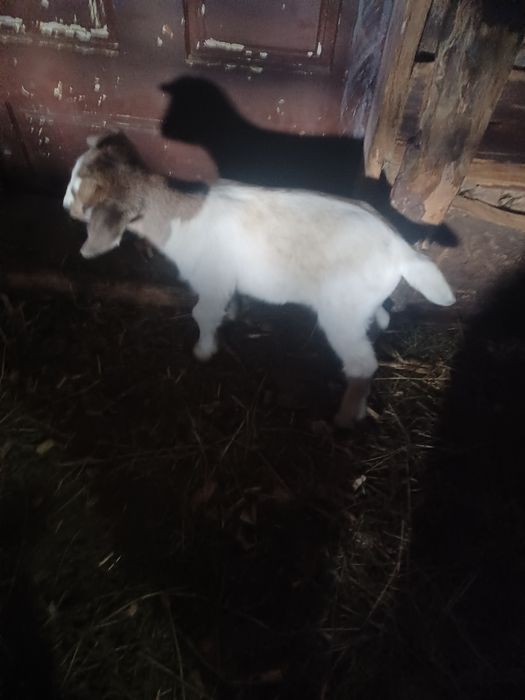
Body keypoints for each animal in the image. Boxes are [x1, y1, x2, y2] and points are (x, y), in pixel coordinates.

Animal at [63, 132, 455, 427]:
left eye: (79, 190)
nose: (65, 206)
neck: (178, 216)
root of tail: (401, 250)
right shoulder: (225, 281)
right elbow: (227, 304)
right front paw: (233, 316)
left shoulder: (211, 278)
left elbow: (202, 315)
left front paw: (204, 351)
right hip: (361, 303)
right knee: (379, 322)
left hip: (340, 313)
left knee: (362, 364)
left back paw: (345, 418)